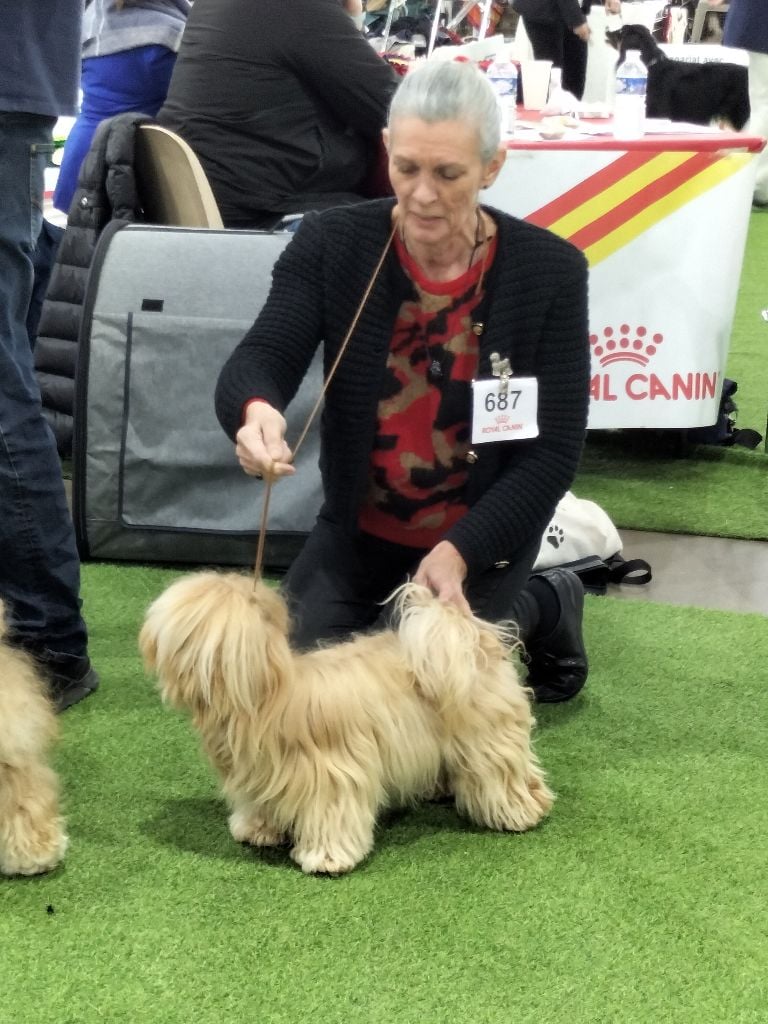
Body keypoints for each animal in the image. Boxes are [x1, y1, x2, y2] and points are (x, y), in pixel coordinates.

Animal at [140, 573, 552, 876]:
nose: (145, 644)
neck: (267, 694)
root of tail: (475, 639)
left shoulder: (332, 777)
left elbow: (331, 818)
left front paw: (326, 858)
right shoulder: (257, 777)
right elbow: (260, 805)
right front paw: (257, 829)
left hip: (489, 740)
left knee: (507, 776)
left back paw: (521, 811)